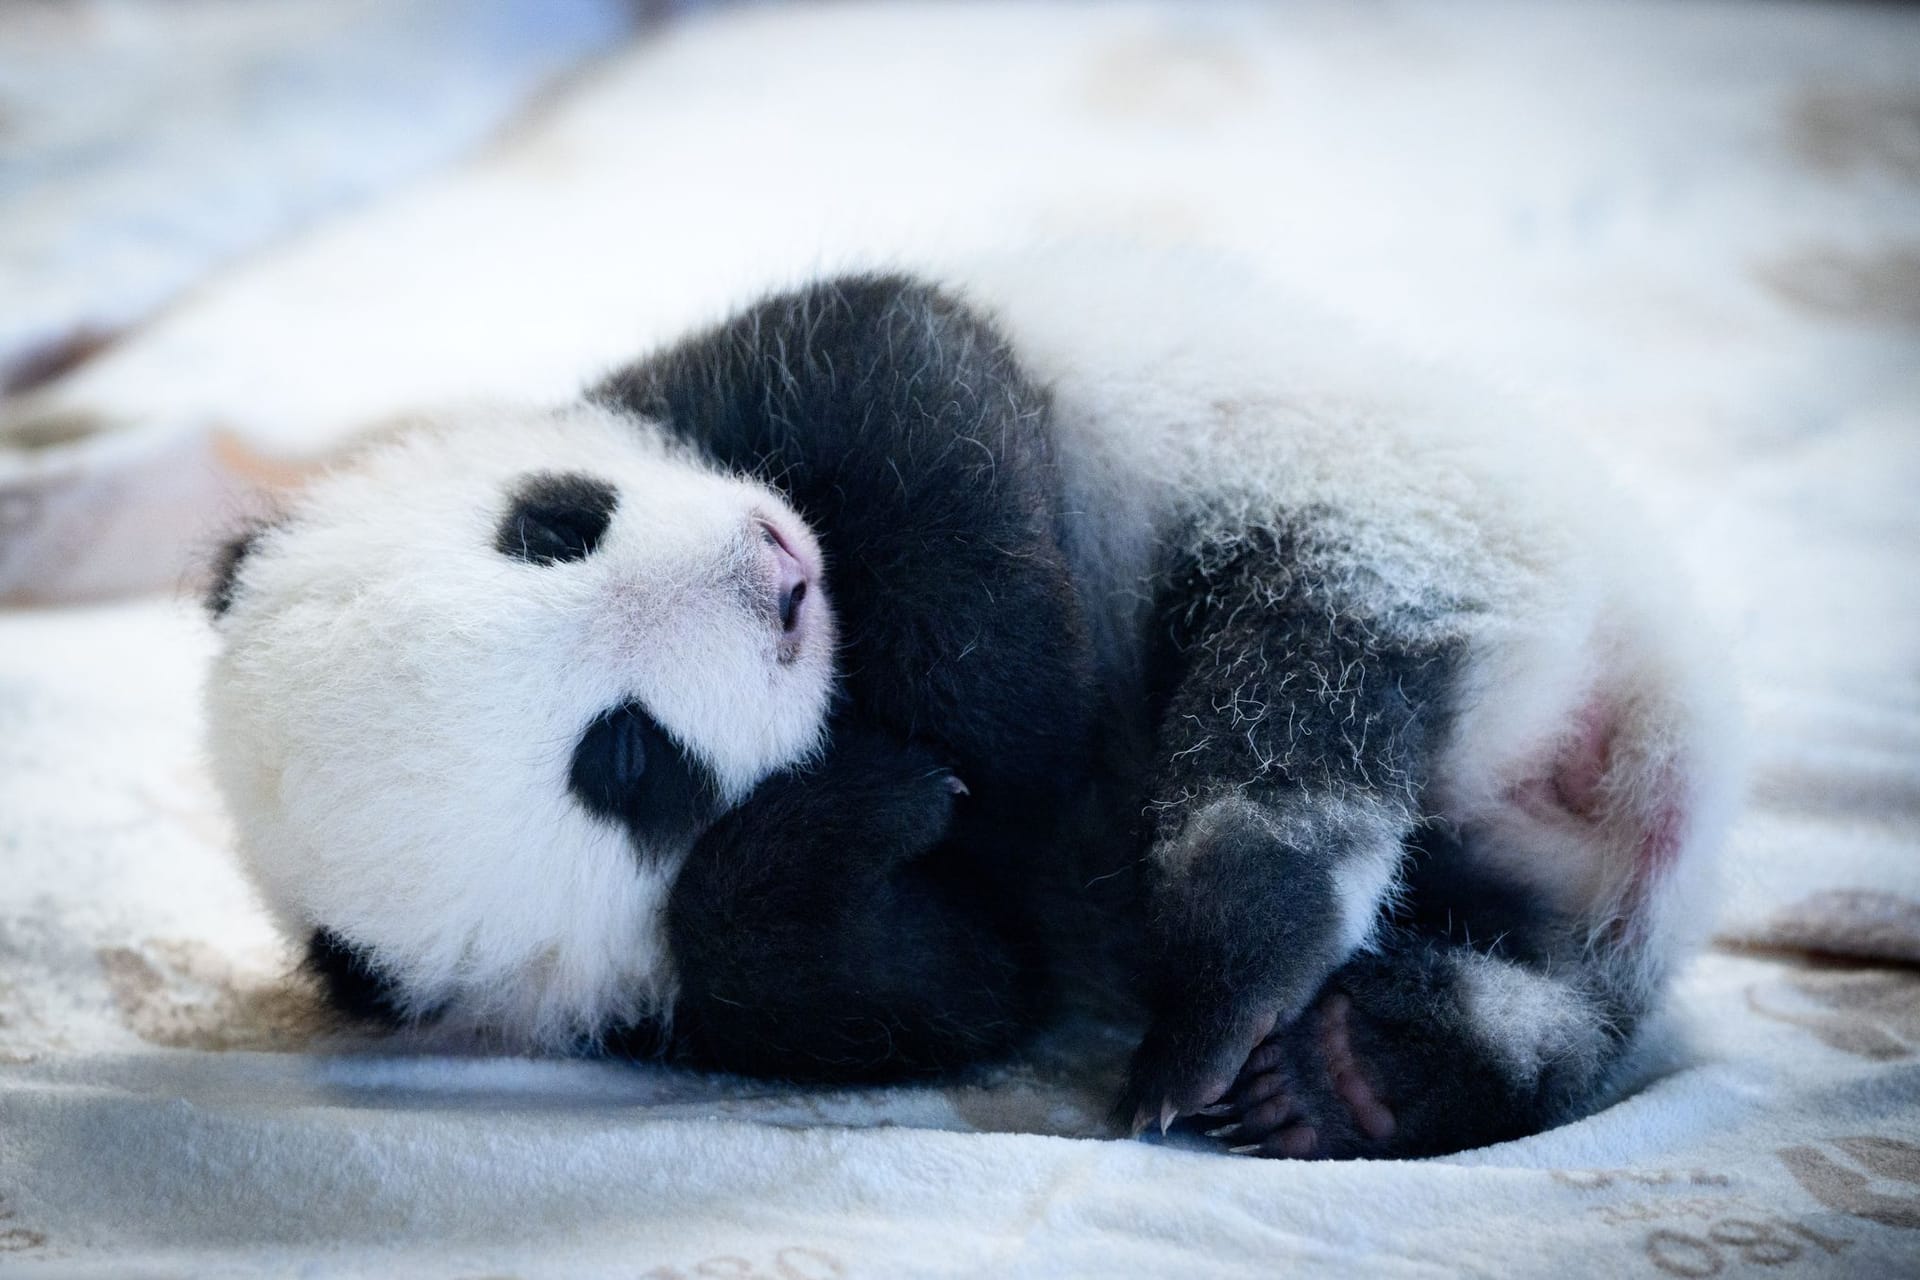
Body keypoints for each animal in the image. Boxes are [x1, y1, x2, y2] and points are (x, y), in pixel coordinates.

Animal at [202, 249, 1735, 1159]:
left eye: (553, 527)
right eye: (625, 760)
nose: (774, 581)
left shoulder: (748, 377)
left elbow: (911, 375)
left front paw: (987, 706)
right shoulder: (693, 1007)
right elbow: (946, 976)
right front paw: (866, 813)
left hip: (1410, 503)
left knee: (1293, 691)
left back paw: (1262, 1013)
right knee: (1400, 848)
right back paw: (1344, 1059)